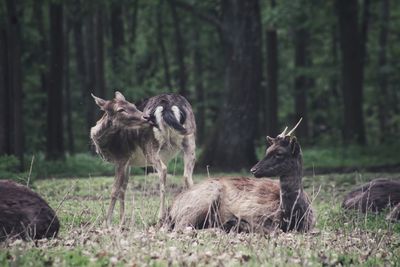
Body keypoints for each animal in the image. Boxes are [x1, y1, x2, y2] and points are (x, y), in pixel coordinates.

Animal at [90, 92, 197, 226]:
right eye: (121, 109)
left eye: (132, 105)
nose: (146, 117)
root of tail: (167, 105)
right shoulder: (129, 162)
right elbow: (123, 189)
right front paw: (122, 222)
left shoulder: (122, 157)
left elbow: (115, 190)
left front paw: (107, 222)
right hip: (190, 139)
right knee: (187, 176)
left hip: (150, 146)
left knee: (163, 169)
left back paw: (160, 217)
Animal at [166, 119, 316, 234]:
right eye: (267, 150)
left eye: (279, 153)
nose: (254, 169)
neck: (292, 216)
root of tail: (172, 208)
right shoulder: (255, 214)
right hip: (200, 202)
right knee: (182, 228)